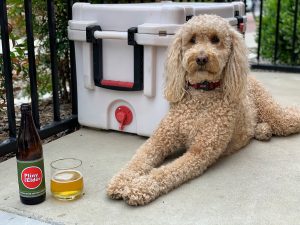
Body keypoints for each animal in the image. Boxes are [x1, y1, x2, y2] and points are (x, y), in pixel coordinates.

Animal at [106, 14, 300, 206]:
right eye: (192, 40)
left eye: (216, 39)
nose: (200, 58)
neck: (201, 95)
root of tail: (250, 78)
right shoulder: (158, 141)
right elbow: (138, 159)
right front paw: (121, 180)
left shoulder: (199, 153)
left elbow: (167, 171)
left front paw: (141, 186)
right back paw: (261, 130)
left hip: (274, 113)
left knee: (290, 116)